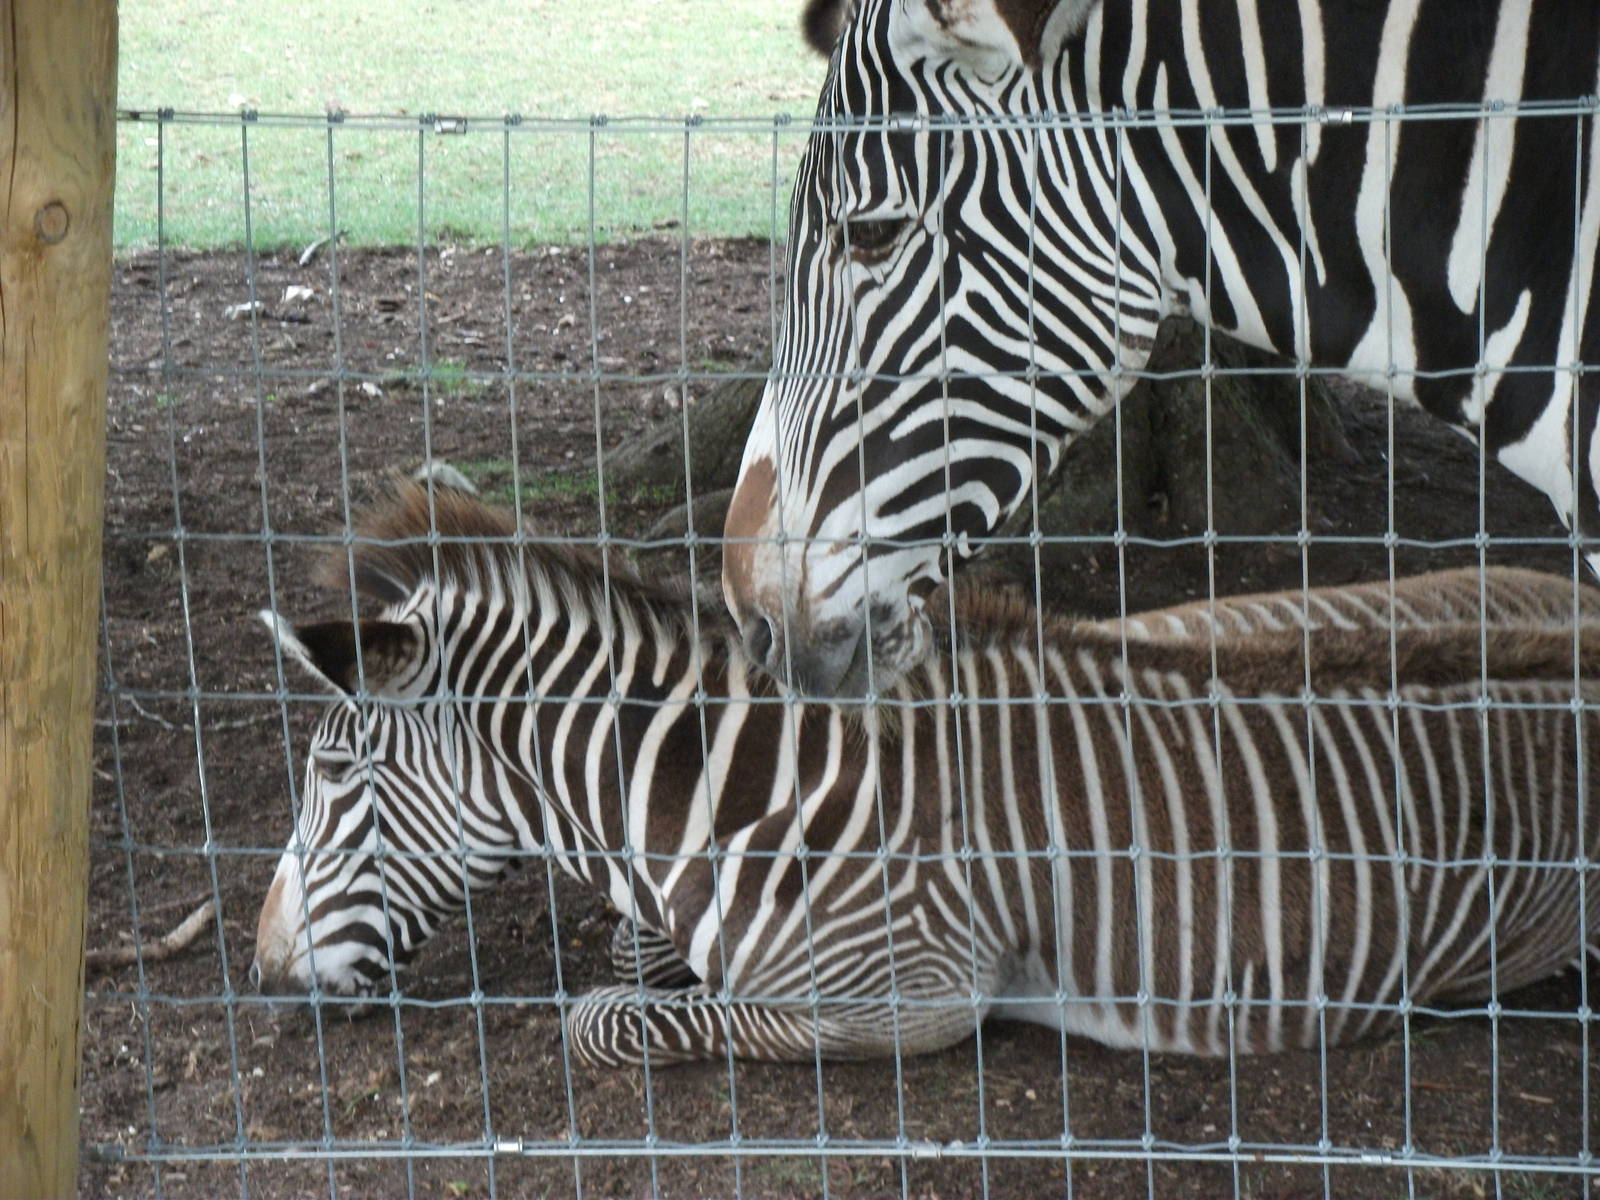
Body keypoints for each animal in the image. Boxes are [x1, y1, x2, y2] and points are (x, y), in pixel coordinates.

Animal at [253, 483, 1600, 1065]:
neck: (746, 797)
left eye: (332, 769)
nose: (261, 976)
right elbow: (637, 955)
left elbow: (607, 1019)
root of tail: (1570, 608)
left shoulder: (910, 998)